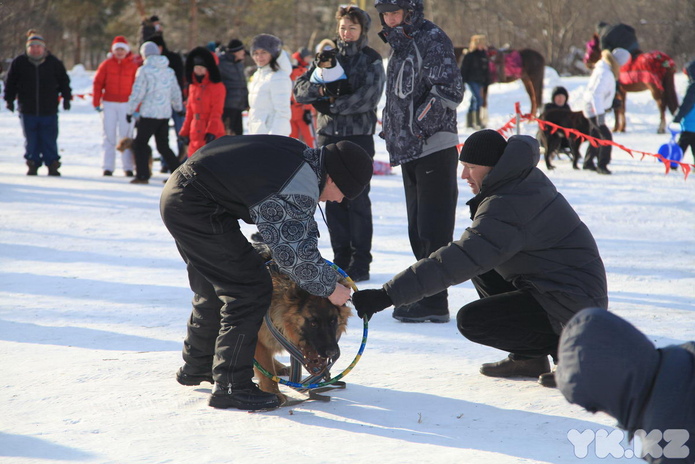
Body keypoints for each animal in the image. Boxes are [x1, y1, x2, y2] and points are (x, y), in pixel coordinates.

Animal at [251, 243, 354, 402]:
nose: (332, 352)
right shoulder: (259, 343)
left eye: (333, 321)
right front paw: (274, 393)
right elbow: (266, 371)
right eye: (313, 323)